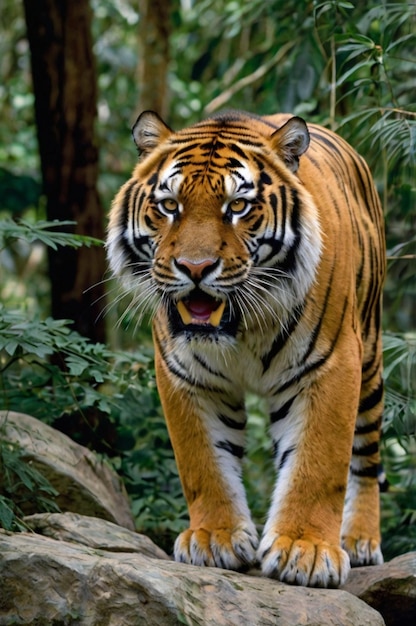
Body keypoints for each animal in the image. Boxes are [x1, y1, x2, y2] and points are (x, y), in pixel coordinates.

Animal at [105, 109, 386, 588]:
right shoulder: (186, 375)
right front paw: (214, 539)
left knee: (366, 455)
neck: (241, 328)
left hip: (369, 357)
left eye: (238, 207)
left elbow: (318, 463)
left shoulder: (331, 365)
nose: (195, 268)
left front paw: (306, 550)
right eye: (169, 206)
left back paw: (361, 541)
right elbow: (204, 464)